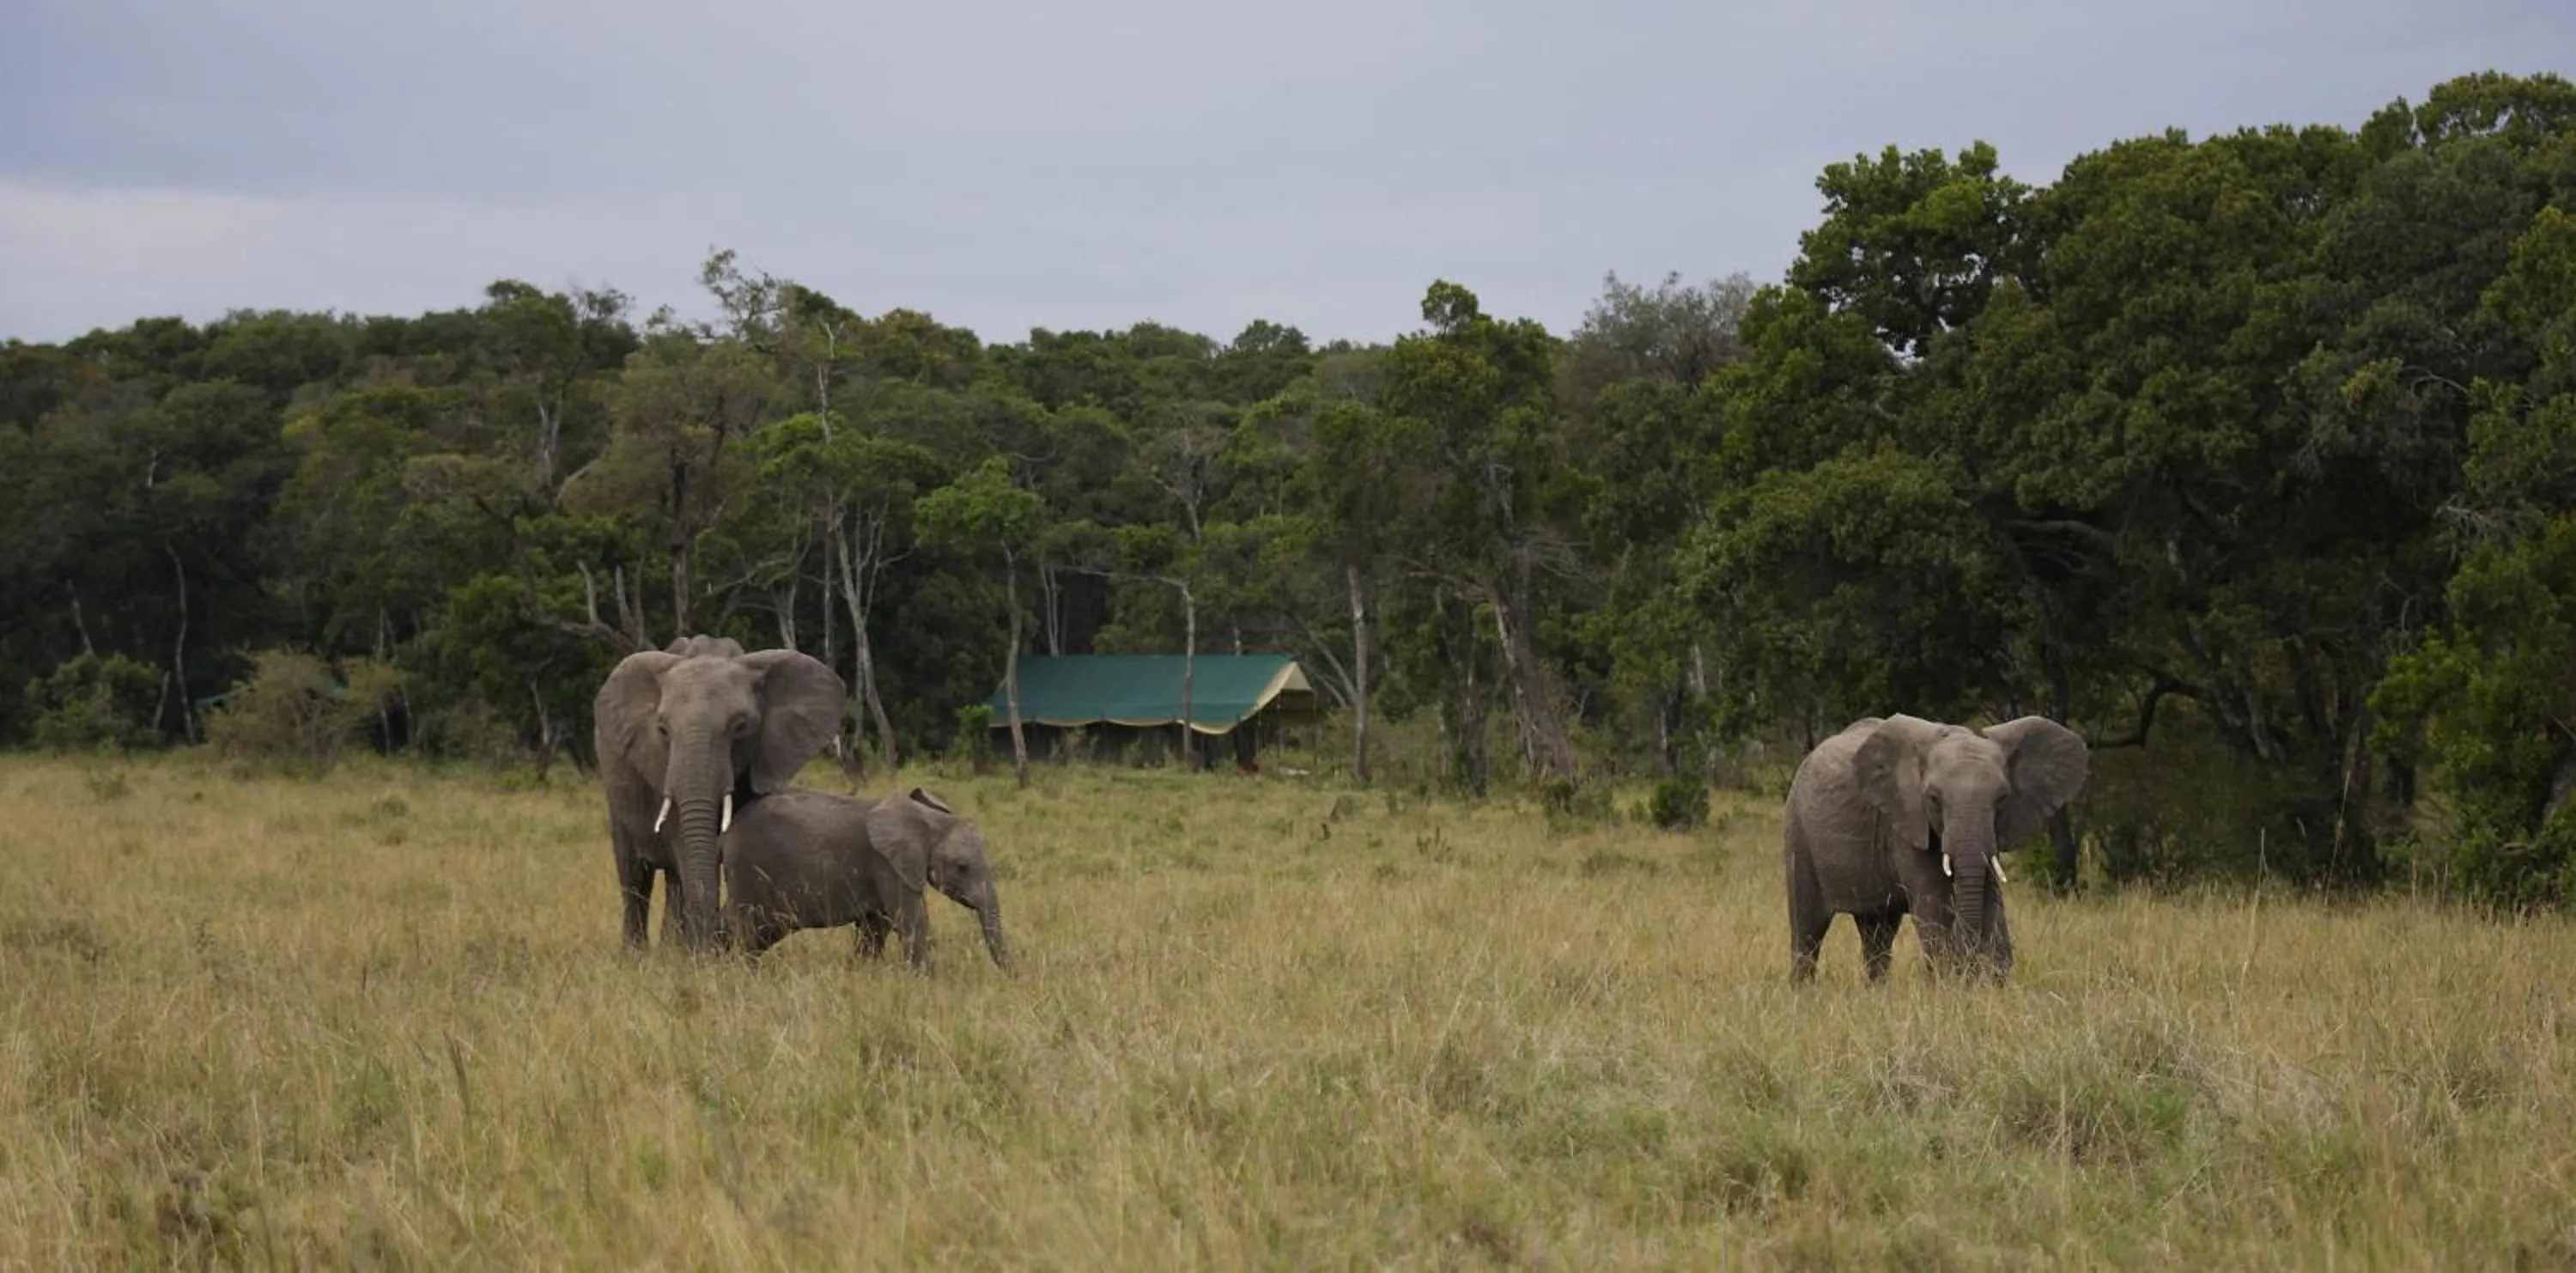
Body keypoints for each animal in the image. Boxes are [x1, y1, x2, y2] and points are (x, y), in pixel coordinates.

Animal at [592, 634, 847, 953]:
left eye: (741, 727)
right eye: (662, 730)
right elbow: (687, 851)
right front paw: (700, 955)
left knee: (673, 879)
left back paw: (670, 950)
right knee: (634, 874)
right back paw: (637, 956)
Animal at [719, 786, 1012, 973]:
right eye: (962, 867)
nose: (1012, 978)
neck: (930, 820)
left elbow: (877, 926)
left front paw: (863, 973)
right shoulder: (887, 863)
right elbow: (911, 920)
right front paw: (924, 982)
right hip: (747, 871)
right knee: (748, 931)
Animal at [1782, 713, 2089, 984]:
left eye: (2002, 798)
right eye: (1933, 799)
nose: (1971, 961)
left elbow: (1991, 896)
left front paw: (1990, 979)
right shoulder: (1904, 823)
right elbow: (1934, 902)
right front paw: (1952, 980)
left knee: (1878, 931)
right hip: (1797, 831)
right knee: (1807, 927)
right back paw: (1804, 993)